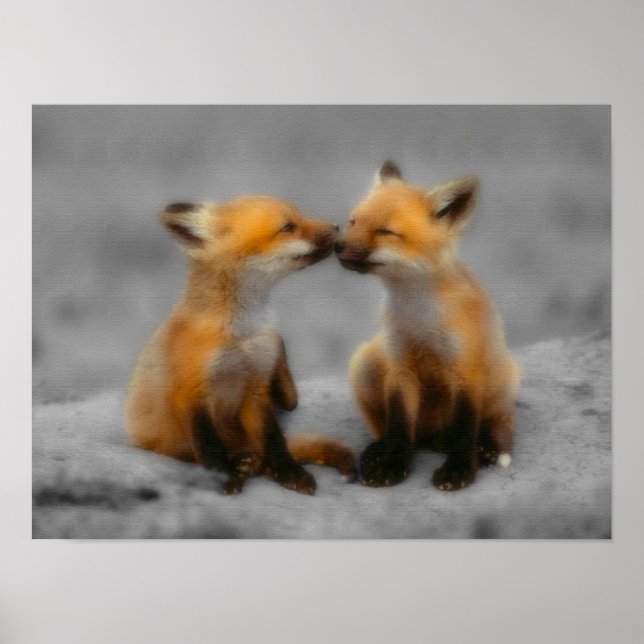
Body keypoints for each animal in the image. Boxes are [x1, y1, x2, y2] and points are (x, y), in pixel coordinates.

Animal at [126, 196, 356, 495]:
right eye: (288, 227)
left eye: (299, 215)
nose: (337, 227)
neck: (241, 335)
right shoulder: (190, 392)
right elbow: (210, 446)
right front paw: (223, 477)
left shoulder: (256, 385)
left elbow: (274, 441)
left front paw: (289, 472)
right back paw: (242, 463)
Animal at [335, 160, 520, 491]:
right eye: (353, 222)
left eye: (385, 231)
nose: (334, 244)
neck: (419, 316)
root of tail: (434, 436)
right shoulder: (399, 365)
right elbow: (398, 428)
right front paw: (392, 466)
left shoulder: (465, 370)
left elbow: (464, 430)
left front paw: (458, 471)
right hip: (365, 362)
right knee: (400, 433)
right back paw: (378, 449)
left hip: (504, 377)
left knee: (496, 422)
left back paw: (485, 446)